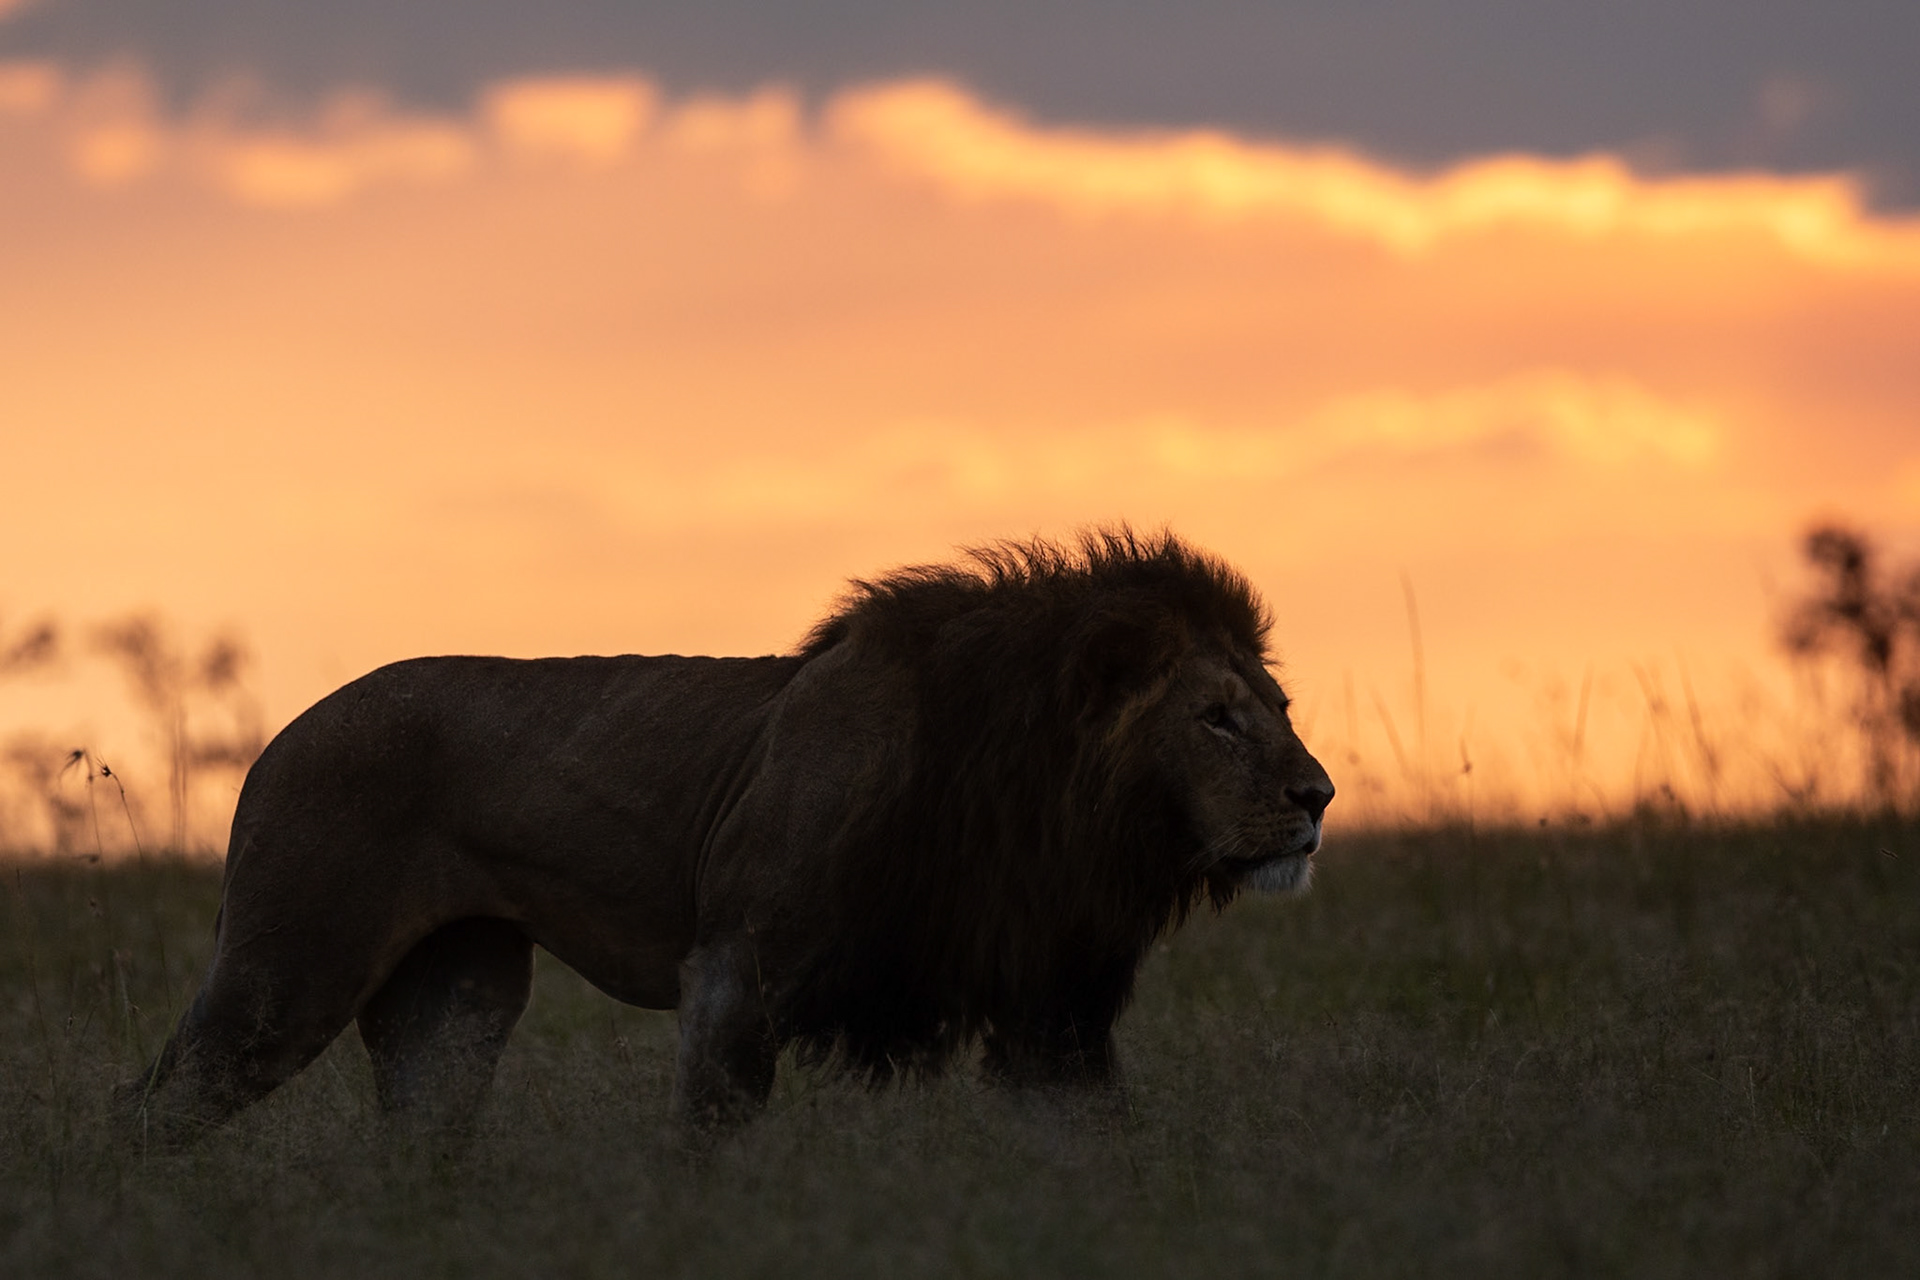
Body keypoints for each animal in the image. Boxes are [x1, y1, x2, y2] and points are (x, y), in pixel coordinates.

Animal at [121, 529, 1333, 1141]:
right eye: (1217, 717)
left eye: (1278, 705)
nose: (1319, 796)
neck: (1049, 809)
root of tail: (285, 733)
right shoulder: (737, 968)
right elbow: (713, 1145)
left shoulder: (1055, 1010)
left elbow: (1107, 1151)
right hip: (288, 967)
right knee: (154, 1108)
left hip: (455, 997)